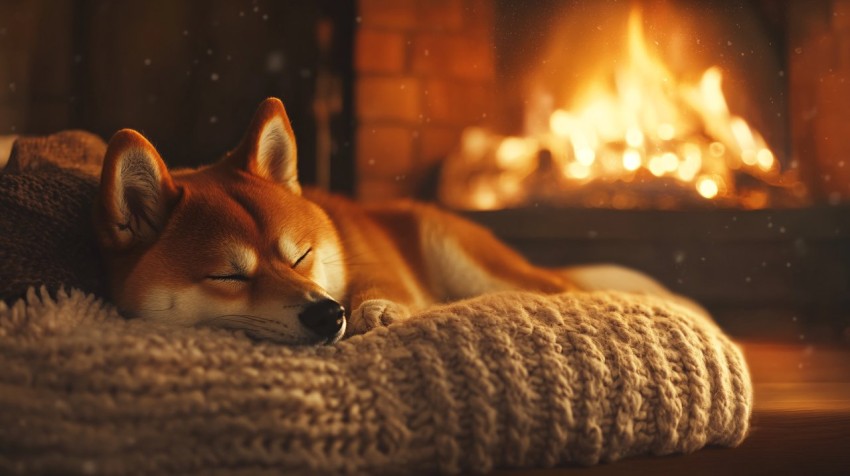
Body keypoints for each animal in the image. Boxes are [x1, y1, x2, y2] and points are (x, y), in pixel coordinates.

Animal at [91, 97, 676, 342]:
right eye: (229, 276)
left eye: (301, 257)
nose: (327, 315)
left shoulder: (372, 266)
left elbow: (377, 289)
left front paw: (377, 312)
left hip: (470, 262)